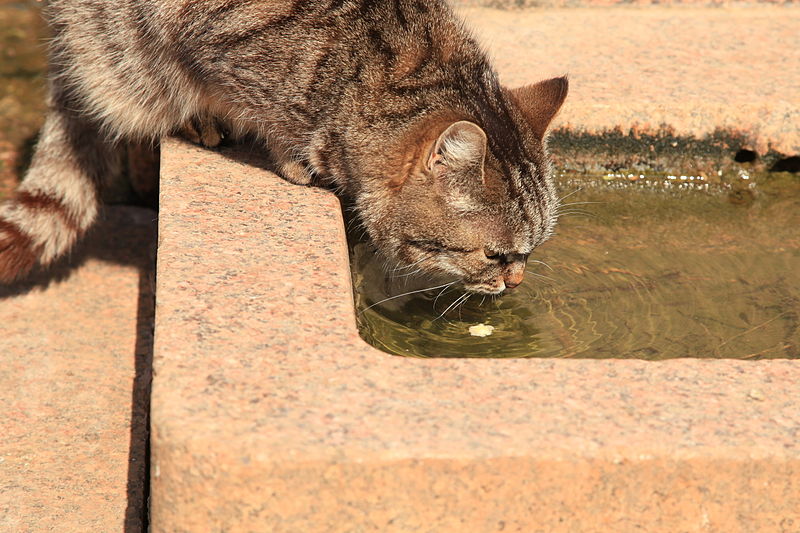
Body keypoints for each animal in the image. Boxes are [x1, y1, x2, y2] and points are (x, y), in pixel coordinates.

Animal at [0, 0, 564, 296]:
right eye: (494, 254)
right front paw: (298, 160)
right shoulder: (219, 48)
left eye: (532, 249)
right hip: (121, 55)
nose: (516, 281)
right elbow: (268, 120)